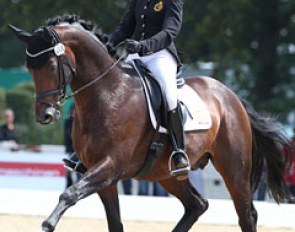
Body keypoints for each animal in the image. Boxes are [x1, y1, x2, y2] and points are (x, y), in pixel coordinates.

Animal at [9, 15, 294, 231]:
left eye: (50, 65)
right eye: (29, 68)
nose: (45, 116)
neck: (107, 93)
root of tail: (231, 95)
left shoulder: (110, 166)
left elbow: (69, 194)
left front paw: (47, 223)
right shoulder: (103, 177)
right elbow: (114, 223)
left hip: (234, 169)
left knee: (246, 214)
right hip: (166, 174)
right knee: (197, 205)